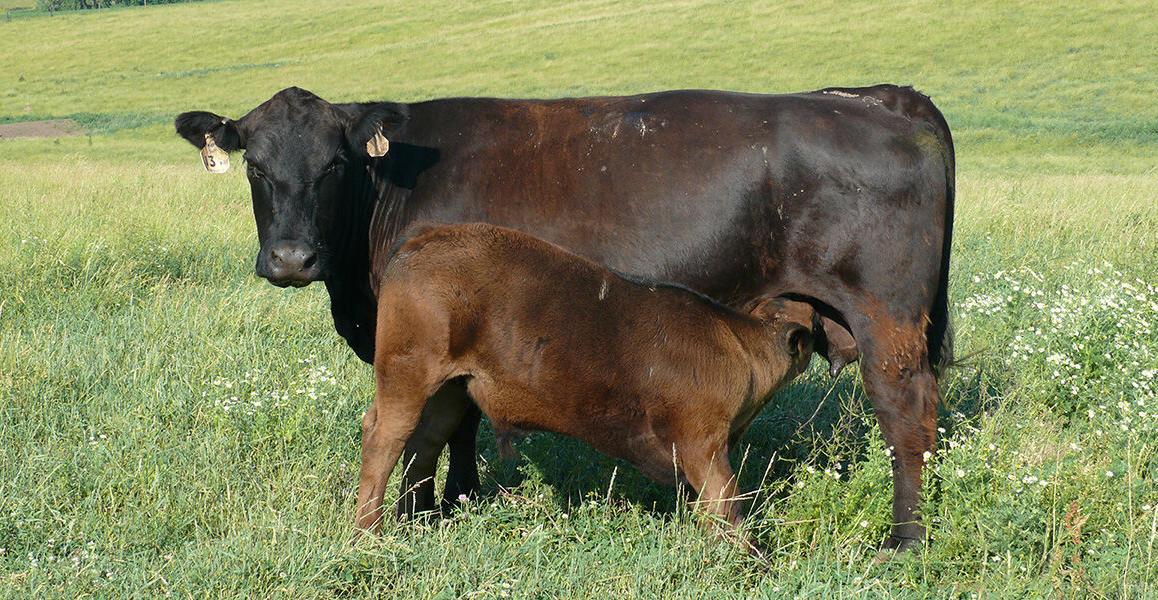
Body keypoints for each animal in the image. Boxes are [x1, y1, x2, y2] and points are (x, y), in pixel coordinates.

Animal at [355, 222, 817, 546]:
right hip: (406, 376)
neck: (741, 344)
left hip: (450, 389)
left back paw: (415, 521)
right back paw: (368, 534)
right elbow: (726, 504)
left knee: (423, 444)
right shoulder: (702, 442)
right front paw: (749, 559)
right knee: (384, 439)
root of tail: (420, 239)